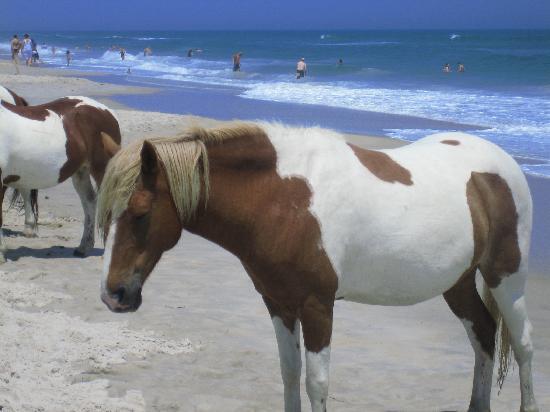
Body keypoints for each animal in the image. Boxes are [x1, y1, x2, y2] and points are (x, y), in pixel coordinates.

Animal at [98, 124, 540, 410]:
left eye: (140, 213)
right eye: (106, 216)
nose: (113, 295)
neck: (283, 199)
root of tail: (501, 164)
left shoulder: (317, 306)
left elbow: (317, 382)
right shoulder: (278, 302)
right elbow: (289, 372)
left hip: (506, 277)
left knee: (522, 345)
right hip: (458, 282)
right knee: (483, 333)